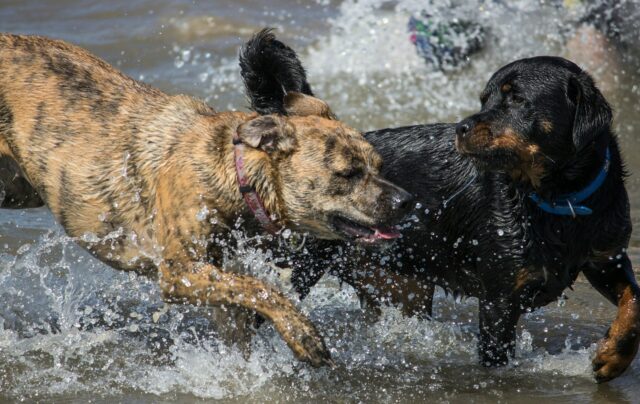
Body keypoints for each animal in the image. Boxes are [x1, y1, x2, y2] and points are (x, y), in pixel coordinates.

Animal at [0, 34, 416, 366]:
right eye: (346, 174)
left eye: (379, 165)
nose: (407, 201)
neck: (232, 170)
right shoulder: (181, 271)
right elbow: (262, 288)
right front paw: (304, 335)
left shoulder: (215, 276)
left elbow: (241, 307)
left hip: (17, 188)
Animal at [240, 30, 640, 380]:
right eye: (484, 99)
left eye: (517, 100)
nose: (462, 127)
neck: (558, 201)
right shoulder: (498, 301)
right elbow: (496, 356)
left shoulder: (608, 258)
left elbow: (633, 303)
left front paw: (613, 357)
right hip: (297, 266)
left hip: (401, 286)